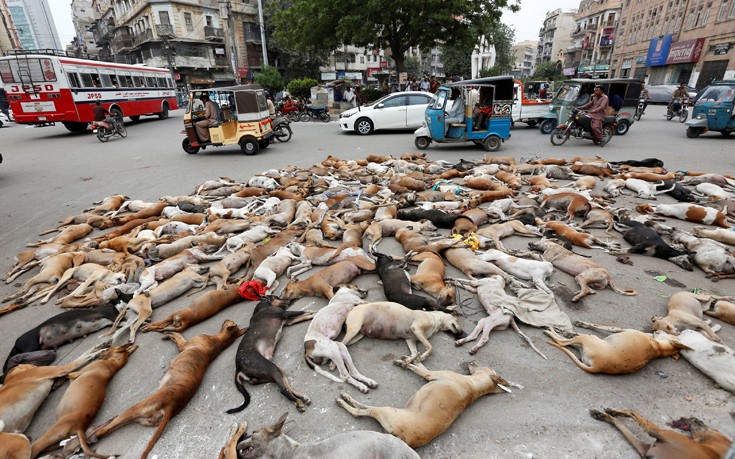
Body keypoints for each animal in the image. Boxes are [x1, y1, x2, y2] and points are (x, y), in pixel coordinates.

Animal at [89, 320, 244, 459]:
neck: (219, 341)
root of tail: (171, 406)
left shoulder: (184, 345)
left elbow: (178, 335)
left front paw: (167, 332)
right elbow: (177, 334)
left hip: (137, 408)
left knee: (106, 431)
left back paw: (95, 435)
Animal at [338, 362, 512, 448]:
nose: (472, 360)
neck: (474, 387)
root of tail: (405, 440)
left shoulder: (431, 375)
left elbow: (419, 369)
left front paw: (403, 362)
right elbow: (421, 365)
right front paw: (414, 358)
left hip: (387, 411)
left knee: (360, 411)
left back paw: (344, 399)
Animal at [548, 322, 688, 376]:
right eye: (671, 330)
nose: (656, 330)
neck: (658, 348)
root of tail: (598, 367)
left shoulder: (619, 329)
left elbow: (601, 326)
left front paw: (577, 326)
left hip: (588, 338)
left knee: (562, 342)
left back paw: (550, 330)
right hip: (583, 346)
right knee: (568, 343)